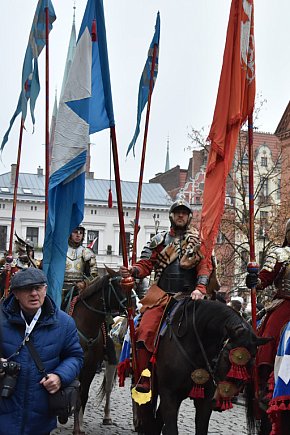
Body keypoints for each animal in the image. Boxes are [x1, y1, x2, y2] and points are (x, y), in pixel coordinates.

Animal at [69, 270, 127, 435]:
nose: (134, 305)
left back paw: (107, 417)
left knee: (107, 387)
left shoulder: (90, 367)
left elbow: (83, 395)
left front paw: (79, 426)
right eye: (119, 285)